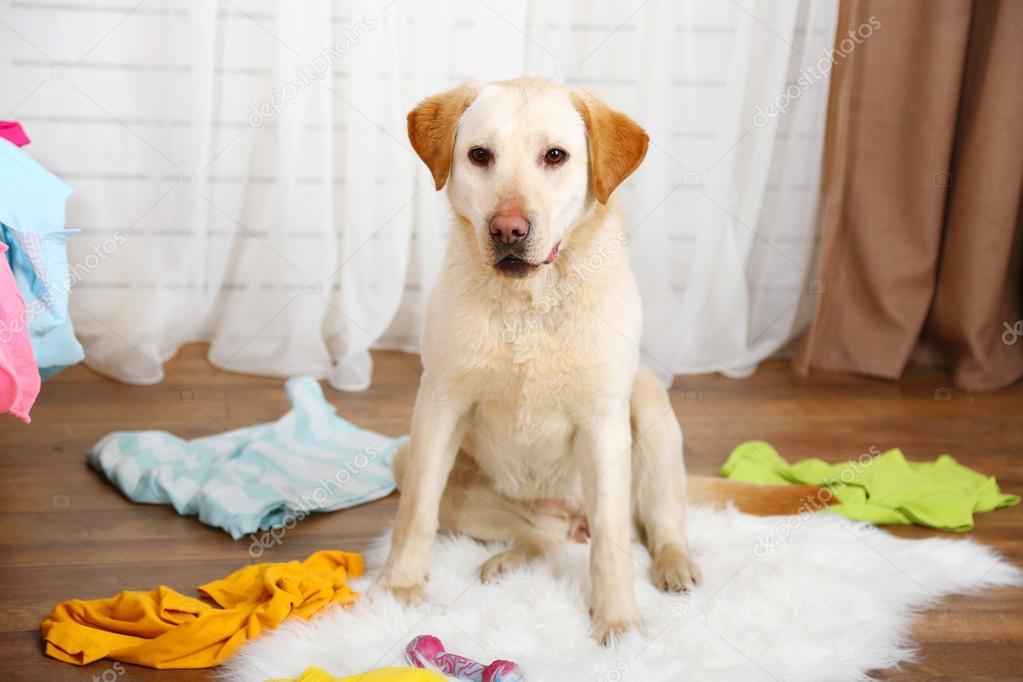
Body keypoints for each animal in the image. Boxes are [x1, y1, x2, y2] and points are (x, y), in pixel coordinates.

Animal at [376, 77, 814, 642]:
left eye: (555, 156)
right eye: (479, 155)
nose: (508, 230)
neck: (531, 303)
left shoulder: (604, 421)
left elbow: (611, 540)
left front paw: (618, 620)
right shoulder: (438, 407)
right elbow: (415, 513)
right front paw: (396, 589)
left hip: (650, 408)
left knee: (658, 521)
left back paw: (674, 563)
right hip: (414, 461)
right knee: (548, 536)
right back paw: (509, 560)